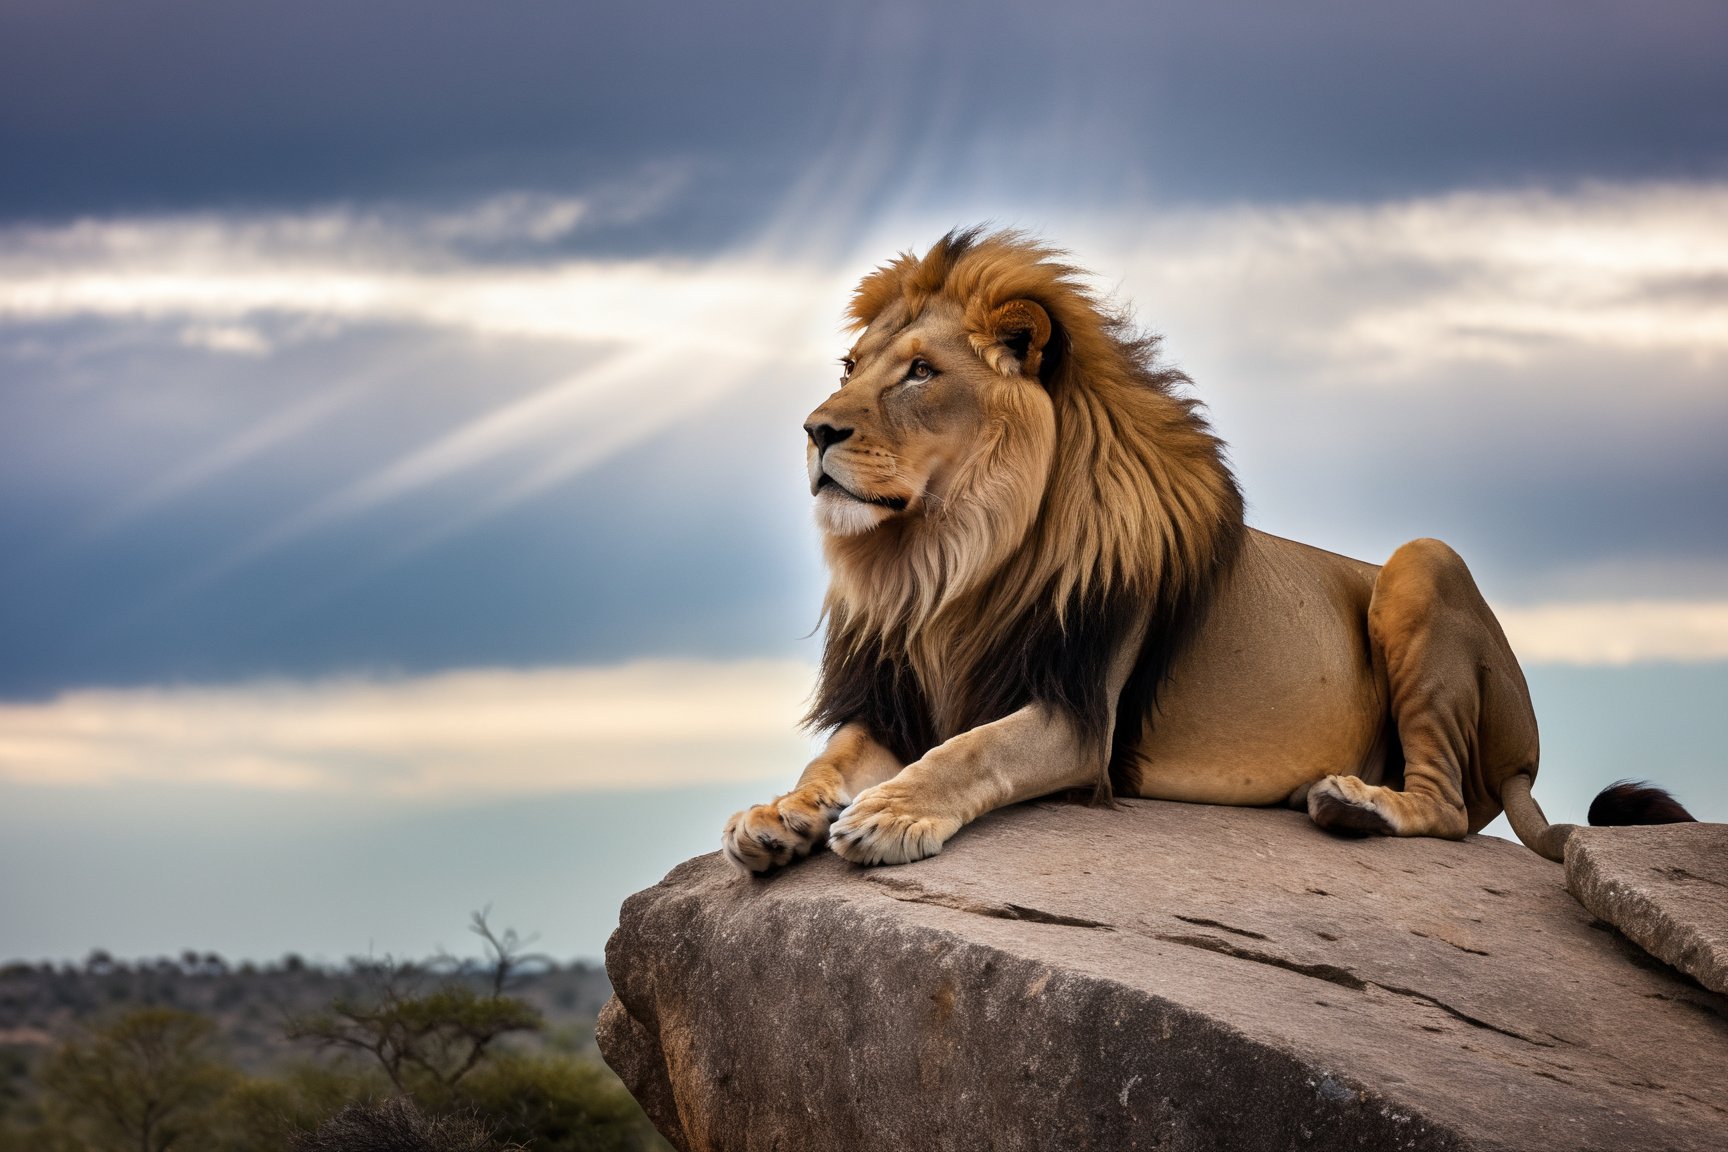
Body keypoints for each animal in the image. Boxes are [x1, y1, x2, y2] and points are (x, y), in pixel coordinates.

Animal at [722, 224, 1693, 873]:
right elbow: (830, 757)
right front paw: (777, 814)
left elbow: (974, 749)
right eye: (850, 370)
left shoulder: (1083, 719)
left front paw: (889, 814)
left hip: (1425, 561)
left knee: (1449, 807)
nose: (816, 429)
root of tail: (1526, 746)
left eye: (922, 373)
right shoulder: (895, 700)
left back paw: (1353, 804)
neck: (948, 561)